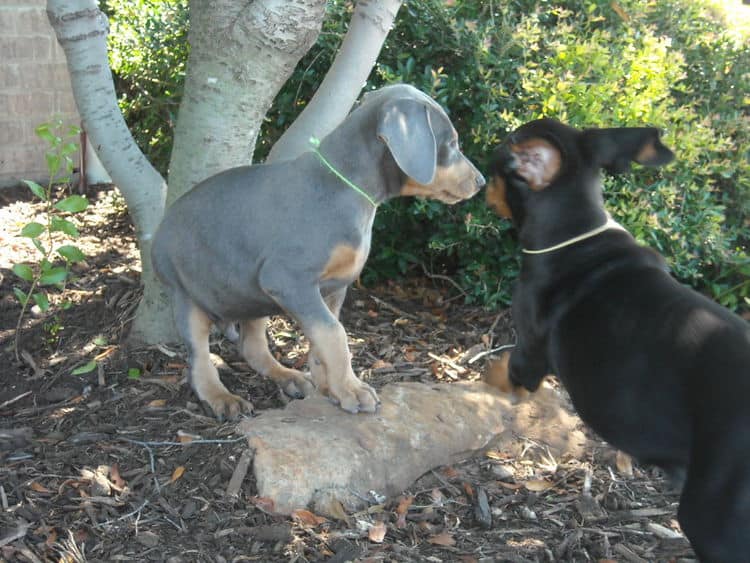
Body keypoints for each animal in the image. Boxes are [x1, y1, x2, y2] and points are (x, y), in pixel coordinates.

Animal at [151, 83, 488, 418]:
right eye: (452, 143)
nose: (482, 181)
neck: (347, 187)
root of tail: (158, 232)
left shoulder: (334, 286)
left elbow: (322, 339)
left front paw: (331, 388)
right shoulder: (289, 280)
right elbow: (334, 334)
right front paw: (352, 389)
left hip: (253, 295)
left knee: (252, 346)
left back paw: (288, 376)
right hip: (187, 293)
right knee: (198, 358)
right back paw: (221, 397)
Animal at [484, 118, 750, 560]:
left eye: (496, 169)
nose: (479, 183)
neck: (575, 230)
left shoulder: (529, 351)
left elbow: (506, 368)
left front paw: (487, 381)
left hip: (714, 514)